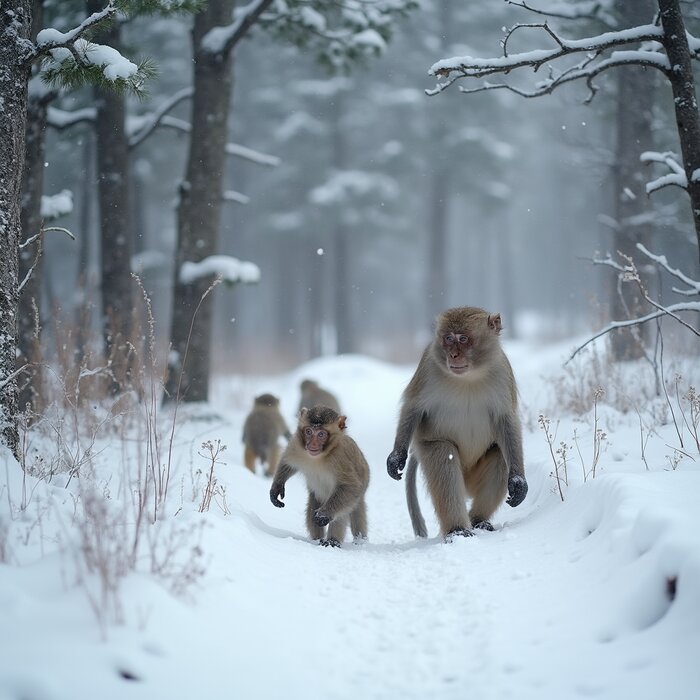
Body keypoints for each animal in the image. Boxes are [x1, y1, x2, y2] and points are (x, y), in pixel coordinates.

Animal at [270, 404, 372, 548]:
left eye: (321, 434)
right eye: (309, 432)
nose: (312, 444)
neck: (321, 456)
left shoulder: (341, 457)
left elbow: (350, 486)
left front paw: (323, 515)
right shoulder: (297, 444)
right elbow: (287, 463)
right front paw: (276, 488)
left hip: (362, 487)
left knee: (344, 507)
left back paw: (337, 541)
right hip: (317, 495)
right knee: (312, 505)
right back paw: (316, 540)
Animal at [386, 304, 528, 540]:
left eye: (463, 339)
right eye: (448, 338)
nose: (453, 354)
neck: (470, 377)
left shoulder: (502, 371)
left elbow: (506, 420)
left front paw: (518, 481)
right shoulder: (428, 366)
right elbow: (413, 408)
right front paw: (396, 456)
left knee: (499, 453)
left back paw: (478, 520)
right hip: (434, 449)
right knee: (444, 455)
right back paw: (458, 529)